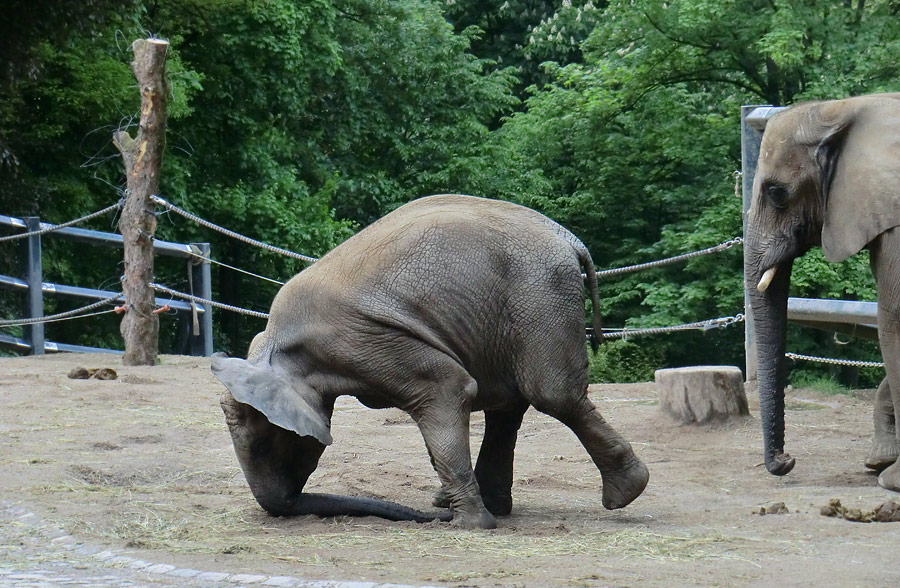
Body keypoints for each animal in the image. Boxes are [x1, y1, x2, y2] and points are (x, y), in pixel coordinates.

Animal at [211, 193, 648, 528]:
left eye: (263, 445)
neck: (273, 349)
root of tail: (568, 238)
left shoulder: (362, 340)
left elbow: (449, 390)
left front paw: (470, 524)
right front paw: (461, 511)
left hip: (539, 295)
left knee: (550, 394)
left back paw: (623, 493)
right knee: (507, 402)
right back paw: (483, 504)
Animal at [748, 93, 900, 492]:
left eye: (775, 192)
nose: (787, 460)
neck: (849, 108)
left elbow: (892, 319)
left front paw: (892, 480)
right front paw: (880, 463)